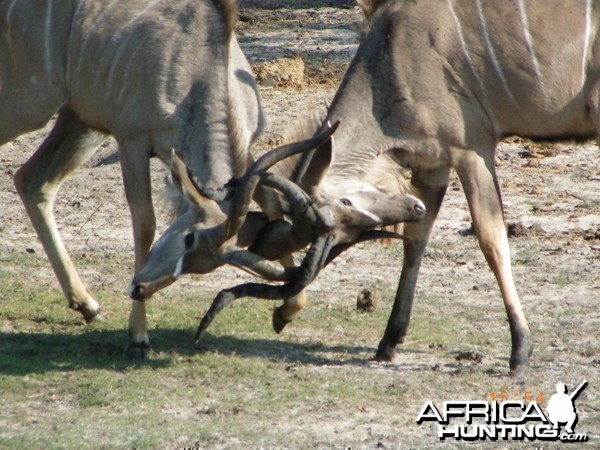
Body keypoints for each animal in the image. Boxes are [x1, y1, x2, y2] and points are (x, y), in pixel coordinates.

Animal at [1, 0, 268, 356]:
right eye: (187, 239)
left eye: (205, 265)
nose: (141, 288)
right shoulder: (133, 142)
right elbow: (145, 224)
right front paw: (139, 335)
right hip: (28, 104)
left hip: (80, 122)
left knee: (32, 181)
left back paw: (87, 304)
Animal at [322, 0, 600, 374]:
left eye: (342, 207)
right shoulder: (434, 163)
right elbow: (415, 241)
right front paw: (388, 341)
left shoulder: (472, 151)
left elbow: (492, 241)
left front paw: (520, 351)